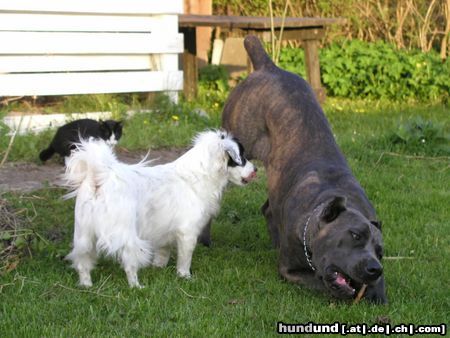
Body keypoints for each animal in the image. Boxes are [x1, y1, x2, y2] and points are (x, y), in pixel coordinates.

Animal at [63, 129, 256, 288]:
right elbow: (185, 259)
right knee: (129, 262)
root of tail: (99, 176)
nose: (256, 169)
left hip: (84, 235)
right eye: (242, 157)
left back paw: (86, 285)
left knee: (82, 262)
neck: (198, 175)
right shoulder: (187, 233)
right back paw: (136, 286)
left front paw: (159, 268)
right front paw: (185, 277)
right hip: (126, 235)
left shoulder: (164, 231)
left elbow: (163, 252)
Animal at [221, 35, 386, 302]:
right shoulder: (290, 271)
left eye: (380, 251)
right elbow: (319, 282)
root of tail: (269, 67)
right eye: (354, 235)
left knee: (269, 208)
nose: (374, 268)